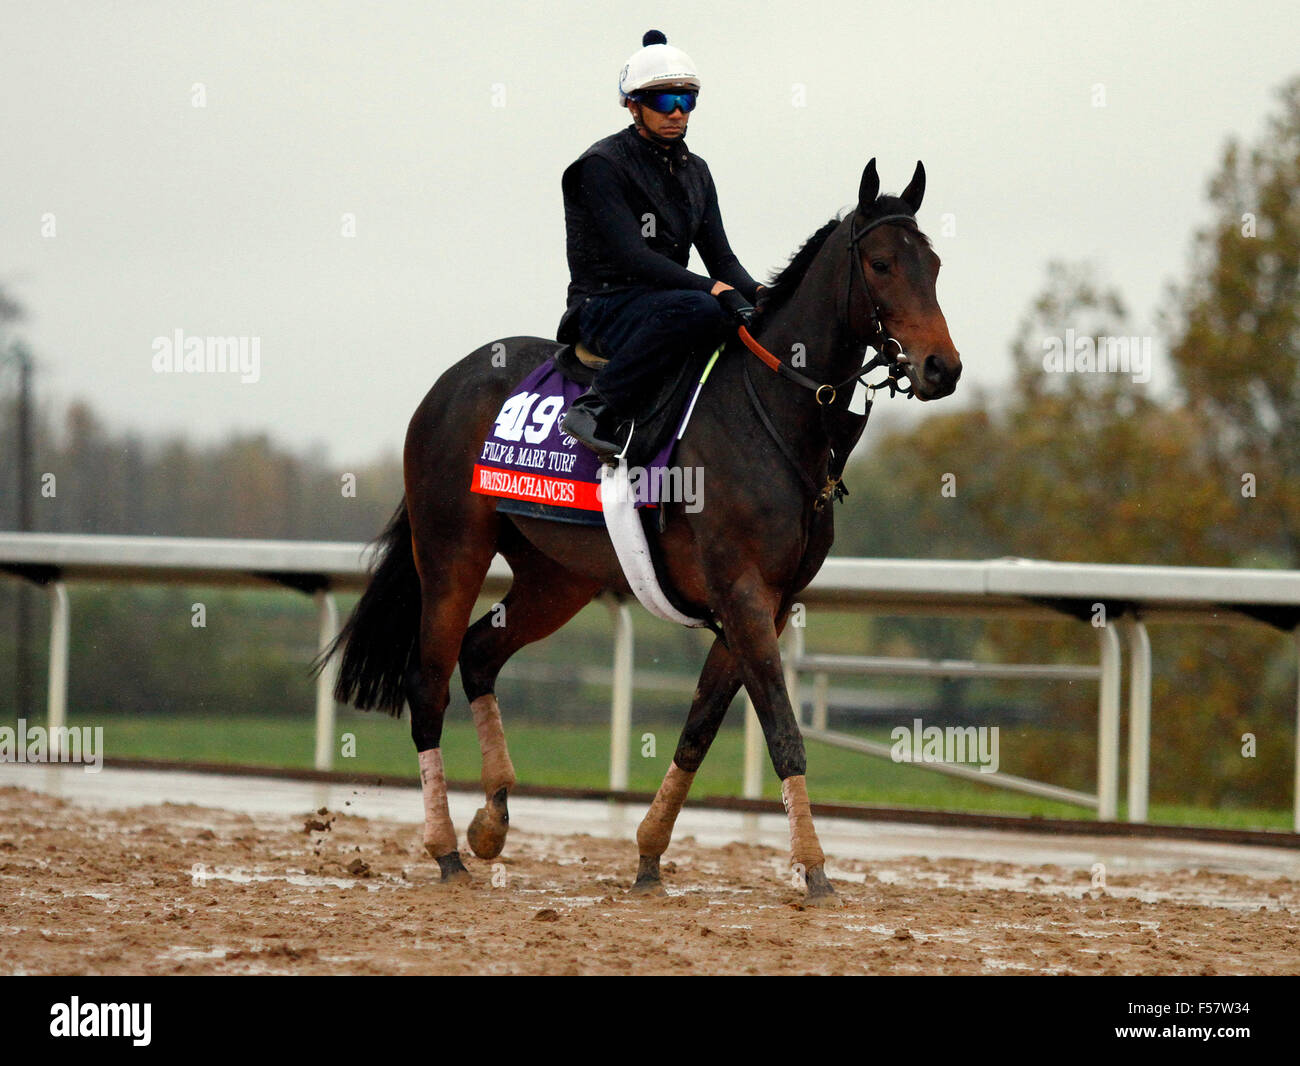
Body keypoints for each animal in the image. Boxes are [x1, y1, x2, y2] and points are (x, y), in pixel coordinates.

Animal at [323, 160, 956, 909]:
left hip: (559, 576)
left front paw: (650, 855)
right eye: (882, 263)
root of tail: (447, 384)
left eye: (934, 265)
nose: (943, 367)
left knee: (478, 653)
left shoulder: (766, 603)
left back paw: (492, 819)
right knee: (428, 680)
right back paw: (447, 848)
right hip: (452, 549)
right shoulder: (742, 592)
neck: (771, 414)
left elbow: (700, 729)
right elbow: (782, 728)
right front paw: (814, 869)